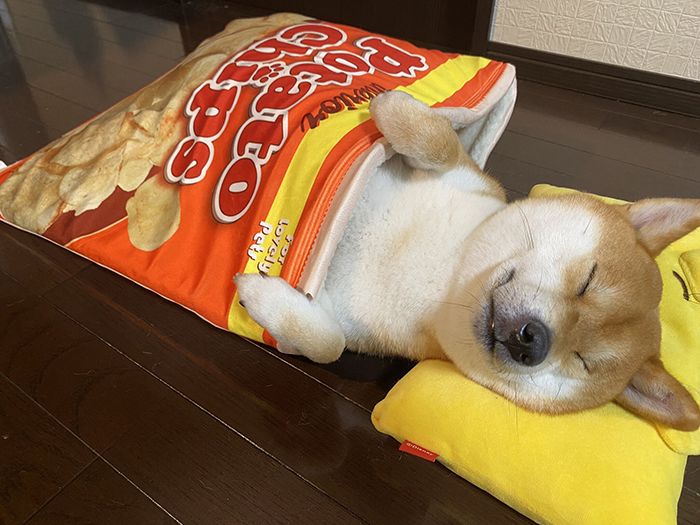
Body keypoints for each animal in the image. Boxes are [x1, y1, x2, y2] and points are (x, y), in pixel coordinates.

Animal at [234, 91, 700, 430]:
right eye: (588, 279)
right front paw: (390, 104)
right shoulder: (463, 171)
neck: (446, 280)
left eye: (582, 362)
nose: (534, 343)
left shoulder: (348, 327)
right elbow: (440, 141)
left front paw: (263, 299)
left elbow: (327, 344)